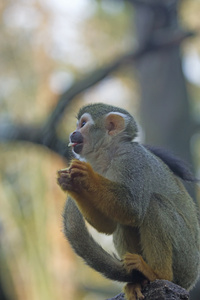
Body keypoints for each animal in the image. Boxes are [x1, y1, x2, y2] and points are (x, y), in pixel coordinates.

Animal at [56, 103, 200, 300]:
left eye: (83, 124)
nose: (72, 133)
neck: (109, 155)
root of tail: (190, 281)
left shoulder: (131, 159)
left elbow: (132, 208)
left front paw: (86, 175)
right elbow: (108, 226)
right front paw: (72, 184)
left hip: (186, 259)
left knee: (153, 205)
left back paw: (158, 274)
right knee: (123, 223)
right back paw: (138, 280)